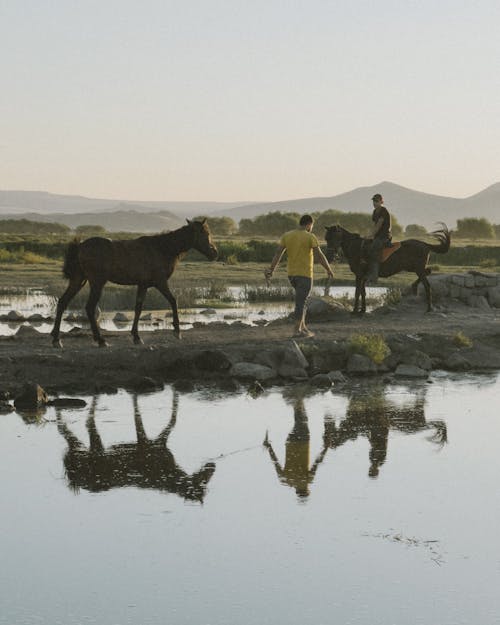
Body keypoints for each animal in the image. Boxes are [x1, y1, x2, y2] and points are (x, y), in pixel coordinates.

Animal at [50, 218, 219, 346]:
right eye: (205, 233)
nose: (215, 253)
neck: (162, 248)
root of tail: (80, 246)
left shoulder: (143, 285)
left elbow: (138, 308)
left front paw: (136, 336)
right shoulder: (160, 282)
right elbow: (173, 301)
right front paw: (177, 332)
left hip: (79, 280)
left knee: (63, 302)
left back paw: (56, 339)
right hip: (97, 283)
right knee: (89, 308)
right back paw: (100, 340)